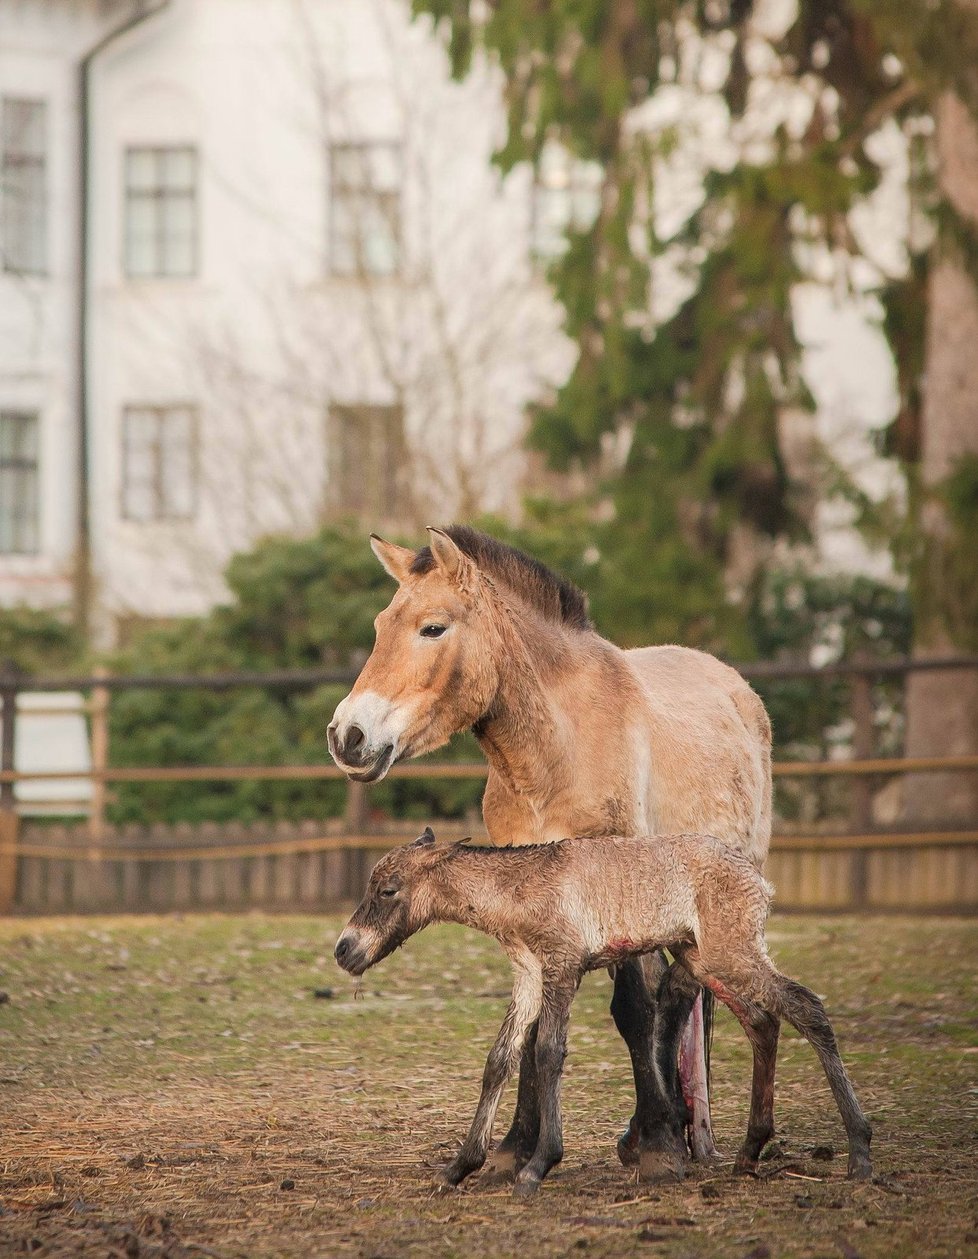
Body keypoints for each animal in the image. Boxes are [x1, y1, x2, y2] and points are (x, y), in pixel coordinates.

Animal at [327, 523, 770, 1178]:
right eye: (382, 626)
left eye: (433, 627)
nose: (347, 737)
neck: (554, 744)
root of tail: (733, 685)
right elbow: (535, 1030)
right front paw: (515, 1147)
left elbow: (632, 1010)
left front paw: (659, 1147)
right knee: (683, 995)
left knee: (681, 996)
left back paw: (681, 1134)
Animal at [334, 830, 871, 1193]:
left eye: (388, 890)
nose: (344, 950)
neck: (520, 887)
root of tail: (757, 877)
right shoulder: (529, 975)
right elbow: (499, 1060)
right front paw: (458, 1167)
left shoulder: (563, 966)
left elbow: (547, 1054)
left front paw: (537, 1166)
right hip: (706, 958)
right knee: (764, 1022)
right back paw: (749, 1153)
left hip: (731, 954)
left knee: (807, 1008)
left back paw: (860, 1152)